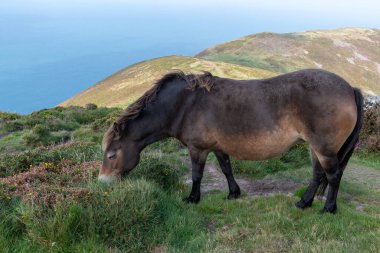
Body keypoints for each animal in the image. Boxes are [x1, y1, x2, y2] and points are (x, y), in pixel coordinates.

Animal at [99, 68, 364, 213]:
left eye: (111, 155)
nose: (102, 183)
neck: (184, 104)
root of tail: (350, 88)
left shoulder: (198, 149)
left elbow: (196, 175)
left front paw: (192, 198)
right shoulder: (217, 147)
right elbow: (226, 169)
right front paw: (233, 193)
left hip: (324, 149)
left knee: (333, 176)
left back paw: (328, 208)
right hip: (316, 148)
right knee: (318, 175)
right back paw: (304, 203)